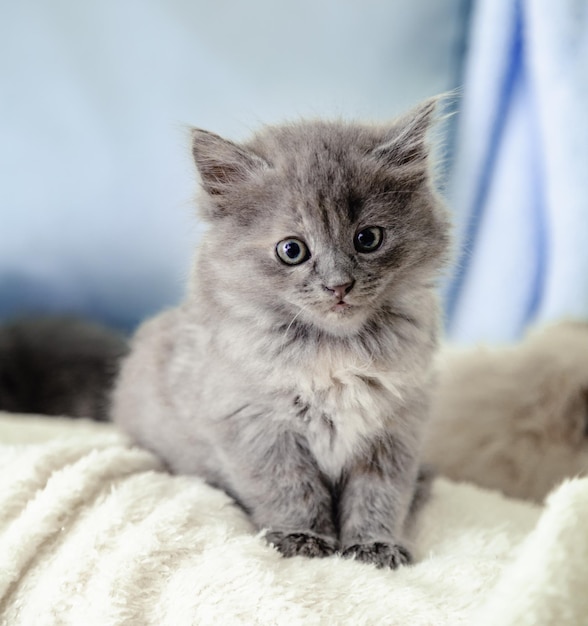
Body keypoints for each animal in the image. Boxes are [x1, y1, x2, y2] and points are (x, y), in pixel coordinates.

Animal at [111, 96, 450, 564]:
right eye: (292, 250)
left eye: (368, 239)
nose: (339, 285)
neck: (336, 352)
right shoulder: (256, 426)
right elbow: (291, 490)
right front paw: (303, 540)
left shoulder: (396, 428)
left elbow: (379, 494)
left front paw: (373, 546)